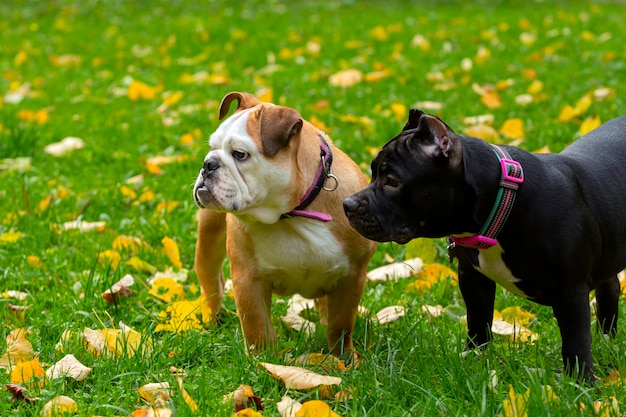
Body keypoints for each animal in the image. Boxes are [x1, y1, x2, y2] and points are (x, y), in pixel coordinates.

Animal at [193, 92, 372, 354]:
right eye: (212, 148)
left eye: (239, 154)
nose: (208, 164)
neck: (291, 214)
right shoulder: (248, 281)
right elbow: (257, 326)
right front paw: (263, 358)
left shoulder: (351, 278)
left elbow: (341, 326)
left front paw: (344, 357)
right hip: (209, 238)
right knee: (211, 281)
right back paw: (211, 319)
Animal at [344, 109, 620, 380]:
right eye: (373, 172)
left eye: (393, 182)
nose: (348, 204)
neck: (505, 201)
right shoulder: (473, 278)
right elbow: (478, 321)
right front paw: (474, 360)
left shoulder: (571, 292)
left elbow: (576, 342)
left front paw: (581, 383)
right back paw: (607, 340)